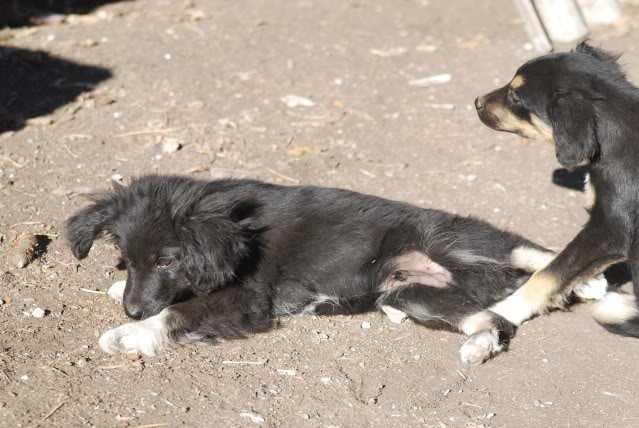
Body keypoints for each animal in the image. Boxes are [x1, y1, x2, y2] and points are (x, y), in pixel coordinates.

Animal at [66, 174, 608, 364]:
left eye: (167, 259)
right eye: (127, 257)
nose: (133, 311)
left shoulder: (247, 299)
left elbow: (179, 313)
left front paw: (127, 334)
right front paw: (120, 297)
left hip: (455, 235)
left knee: (530, 252)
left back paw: (593, 282)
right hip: (411, 293)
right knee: (490, 318)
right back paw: (477, 347)